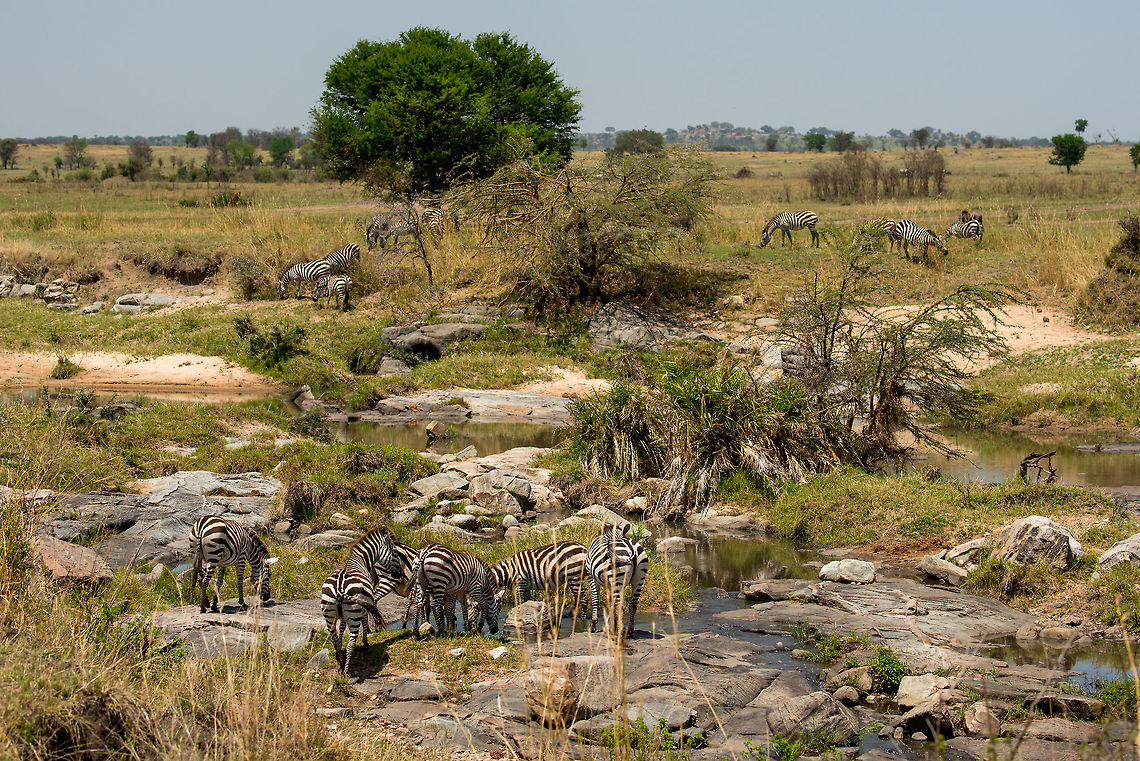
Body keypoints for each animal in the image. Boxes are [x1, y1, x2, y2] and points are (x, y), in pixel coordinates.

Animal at [320, 526, 402, 674]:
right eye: (394, 551)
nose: (399, 574)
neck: (360, 560)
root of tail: (340, 587)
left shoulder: (343, 616)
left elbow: (342, 628)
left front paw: (341, 642)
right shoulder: (365, 606)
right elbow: (365, 622)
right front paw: (365, 643)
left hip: (329, 615)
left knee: (334, 641)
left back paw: (341, 663)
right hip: (354, 614)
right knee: (351, 644)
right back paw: (346, 671)